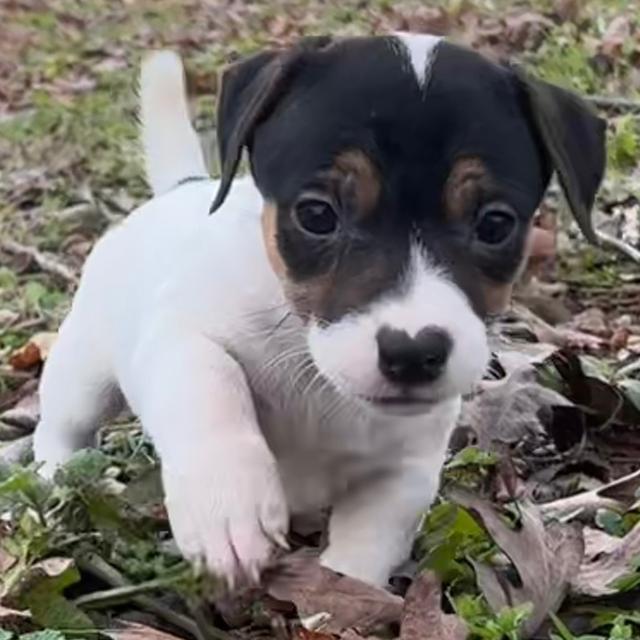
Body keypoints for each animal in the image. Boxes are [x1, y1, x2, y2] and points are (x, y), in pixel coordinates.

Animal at [33, 32, 604, 588]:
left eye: (494, 224)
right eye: (316, 214)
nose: (412, 354)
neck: (315, 369)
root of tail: (182, 188)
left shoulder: (406, 472)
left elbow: (364, 551)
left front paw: (339, 591)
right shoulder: (181, 335)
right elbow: (212, 387)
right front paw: (229, 507)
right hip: (81, 373)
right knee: (61, 426)